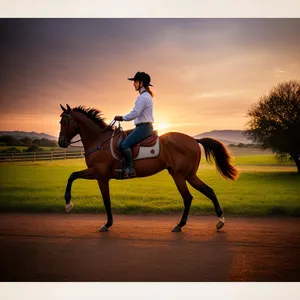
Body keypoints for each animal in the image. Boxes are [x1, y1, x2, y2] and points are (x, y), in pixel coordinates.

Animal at [58, 104, 239, 233]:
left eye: (64, 122)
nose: (61, 143)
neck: (99, 140)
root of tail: (194, 140)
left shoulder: (99, 175)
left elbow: (96, 193)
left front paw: (70, 205)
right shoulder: (99, 175)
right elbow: (75, 177)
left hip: (181, 176)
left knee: (188, 198)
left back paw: (180, 225)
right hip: (188, 175)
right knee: (209, 191)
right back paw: (219, 221)